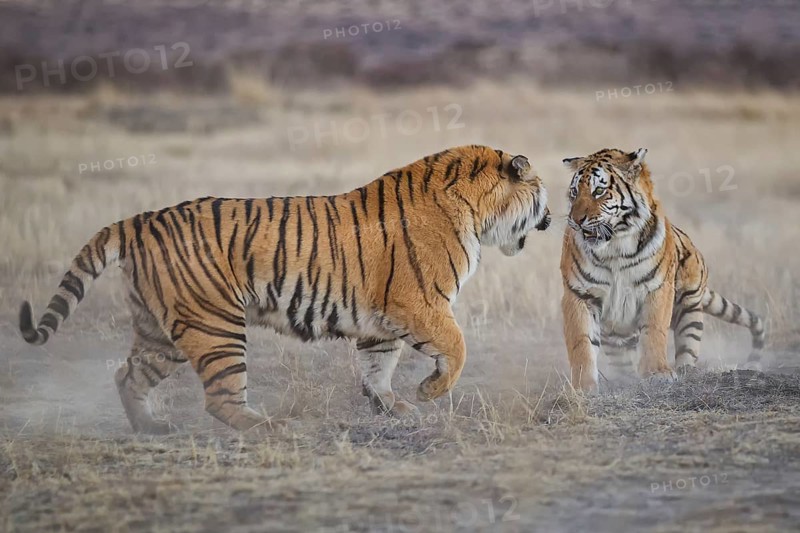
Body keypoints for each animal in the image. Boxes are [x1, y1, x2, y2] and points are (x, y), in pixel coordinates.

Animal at [19, 145, 551, 433]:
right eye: (542, 193)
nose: (549, 218)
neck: (478, 212)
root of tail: (140, 219)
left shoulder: (382, 320)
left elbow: (378, 365)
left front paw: (392, 405)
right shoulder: (419, 302)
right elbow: (457, 347)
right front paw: (427, 392)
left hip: (161, 331)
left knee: (127, 375)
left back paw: (151, 427)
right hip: (214, 326)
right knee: (221, 397)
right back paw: (268, 427)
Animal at [560, 147, 765, 391]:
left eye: (599, 191)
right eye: (574, 192)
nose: (575, 220)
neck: (615, 248)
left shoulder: (657, 288)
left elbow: (654, 330)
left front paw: (658, 373)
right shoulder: (580, 295)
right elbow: (581, 342)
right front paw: (583, 386)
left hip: (689, 305)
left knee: (687, 346)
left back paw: (686, 372)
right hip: (614, 335)